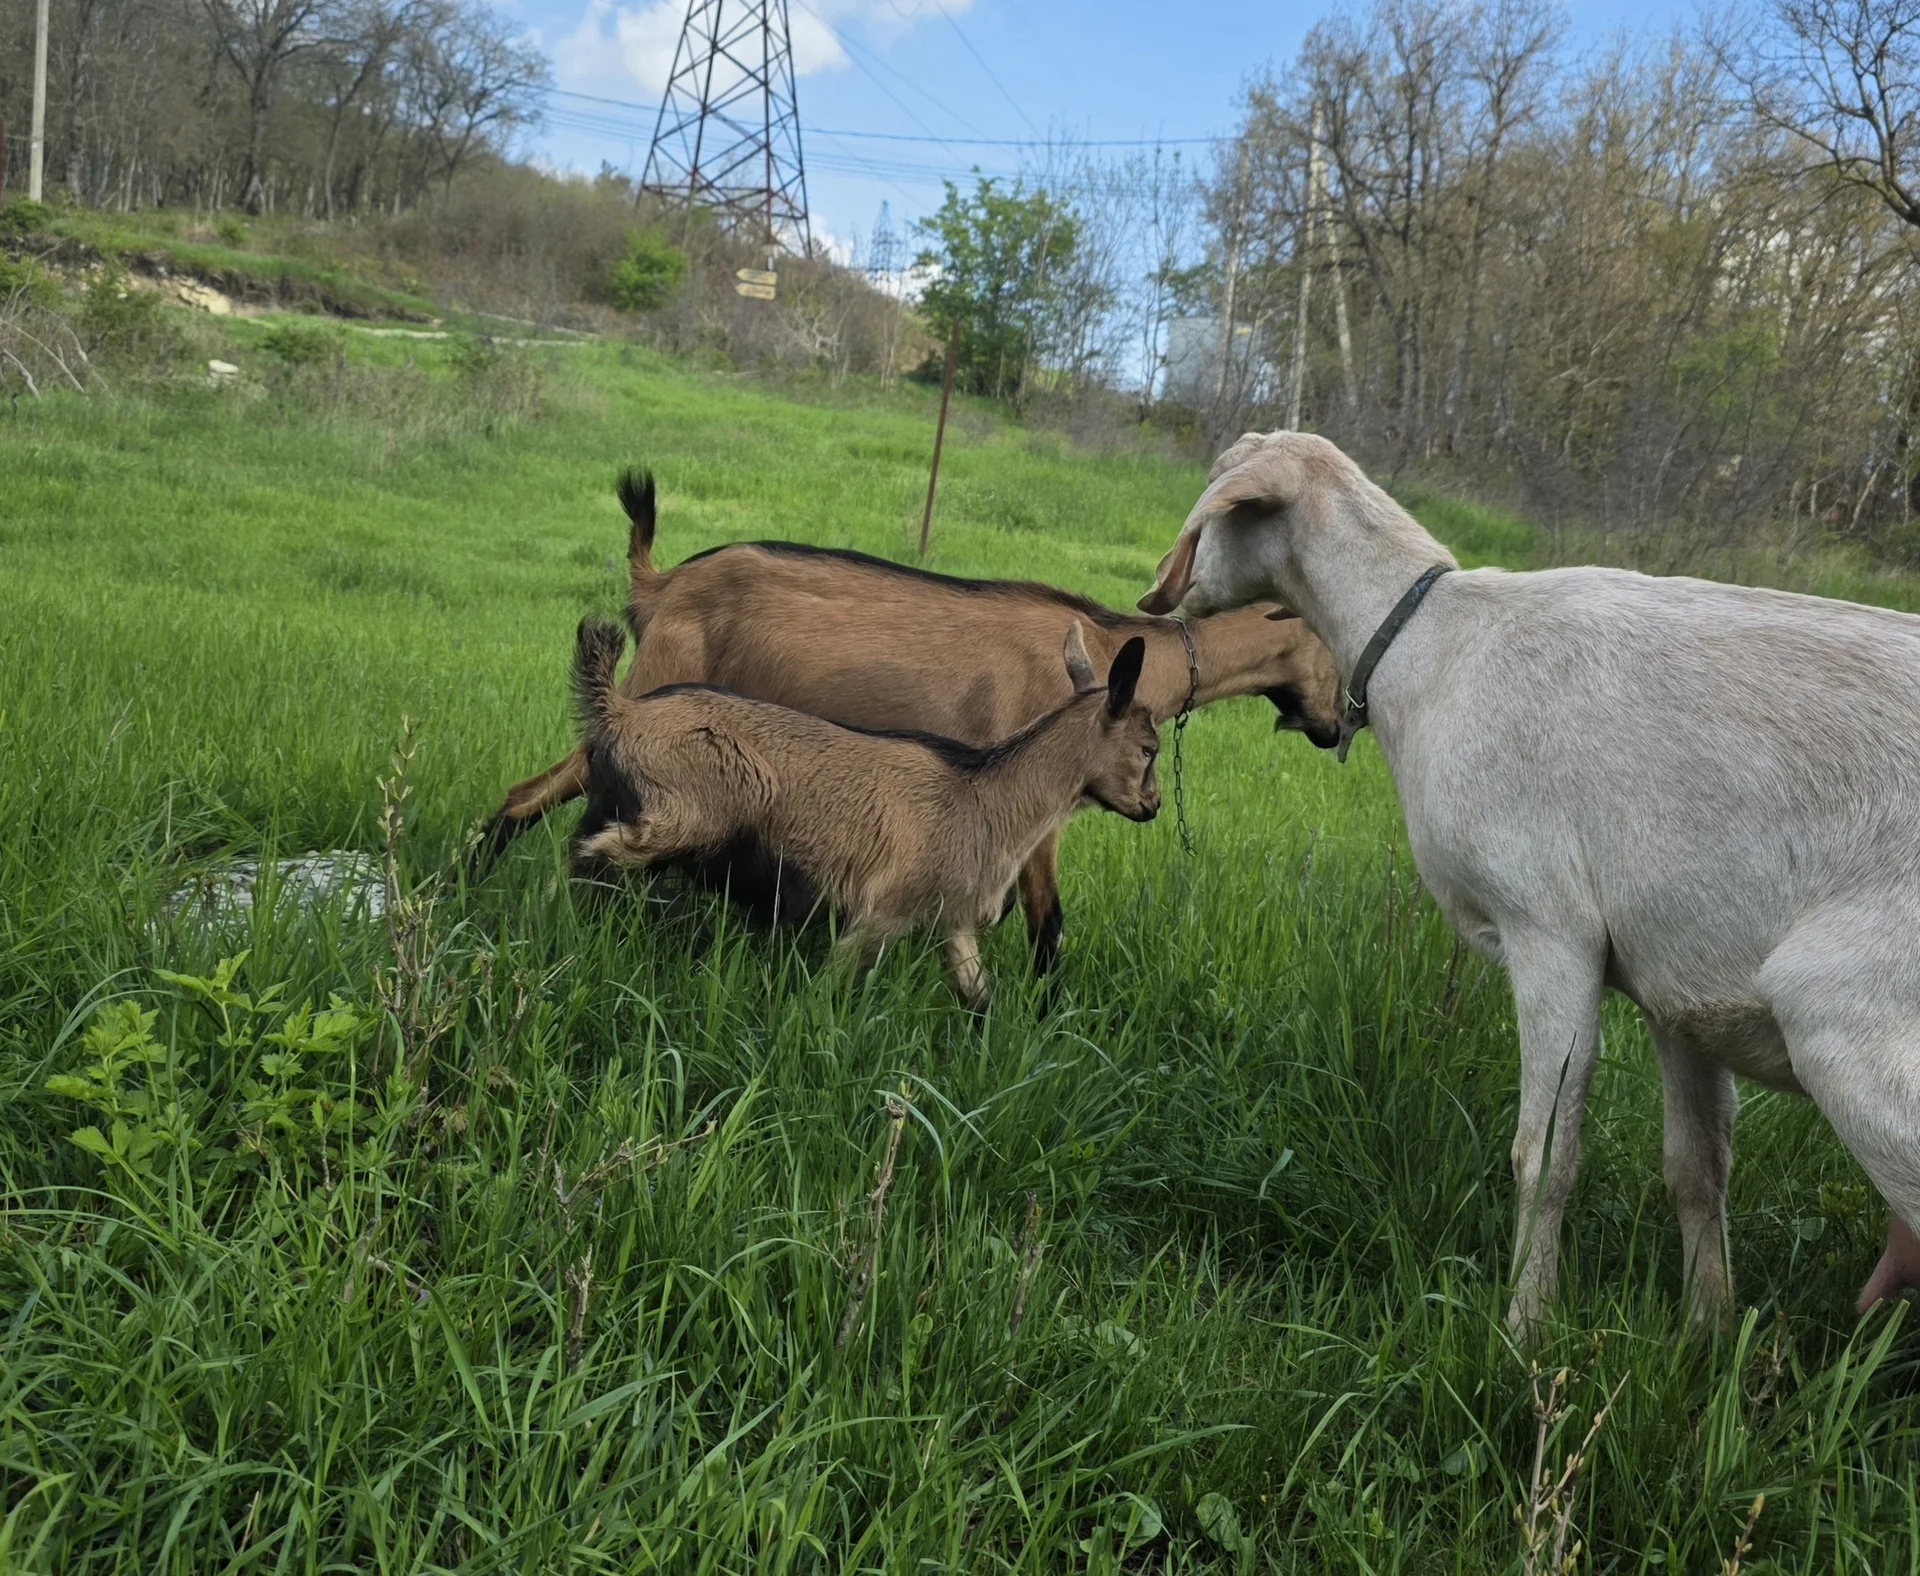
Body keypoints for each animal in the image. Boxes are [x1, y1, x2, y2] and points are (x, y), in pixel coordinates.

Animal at [568, 616, 1161, 1009]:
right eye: (1149, 748)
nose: (1152, 806)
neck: (984, 794)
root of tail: (622, 713)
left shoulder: (953, 924)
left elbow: (980, 999)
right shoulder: (882, 913)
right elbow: (829, 989)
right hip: (682, 816)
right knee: (594, 856)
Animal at [1140, 428, 1920, 1330]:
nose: (1158, 590)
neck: (1432, 647)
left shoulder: (1551, 929)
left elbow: (1543, 1155)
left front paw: (1526, 1323)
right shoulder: (1679, 988)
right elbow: (1697, 1169)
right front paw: (1707, 1332)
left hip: (1844, 1018)